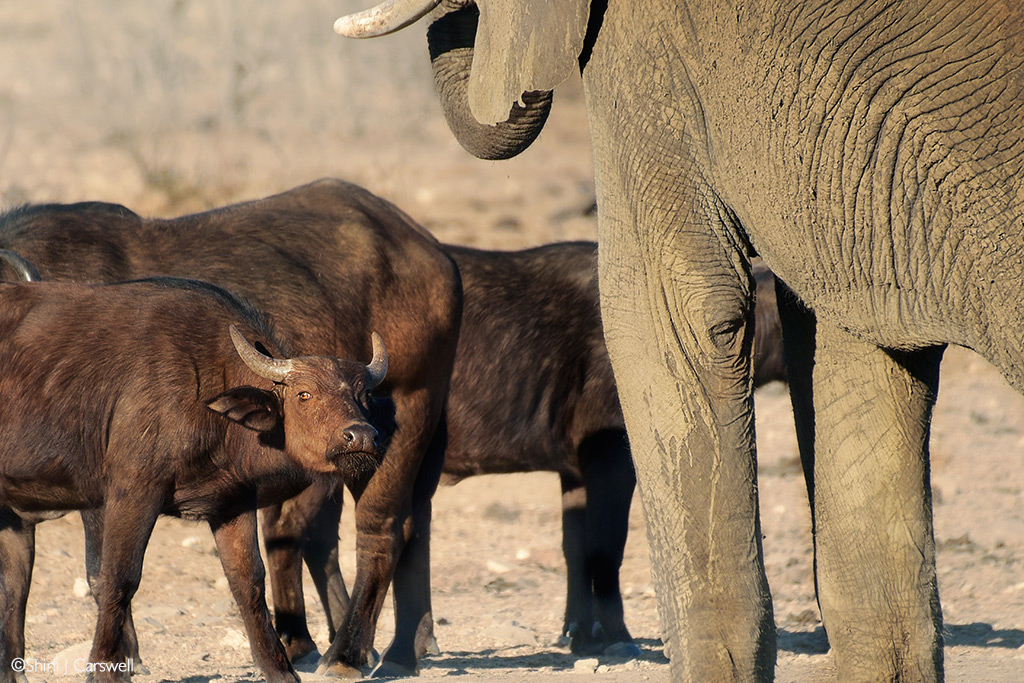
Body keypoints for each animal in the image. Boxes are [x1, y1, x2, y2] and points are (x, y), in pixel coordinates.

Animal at [0, 180, 460, 679]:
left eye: (362, 396)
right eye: (303, 395)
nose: (361, 434)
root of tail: (433, 252)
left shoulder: (122, 494)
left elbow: (109, 576)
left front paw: (119, 659)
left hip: (405, 426)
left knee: (382, 530)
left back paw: (347, 654)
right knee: (396, 527)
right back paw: (398, 648)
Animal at [280, 242, 782, 659]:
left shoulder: (574, 472)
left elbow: (574, 545)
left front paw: (578, 632)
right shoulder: (612, 457)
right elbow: (607, 544)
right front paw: (617, 635)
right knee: (302, 532)